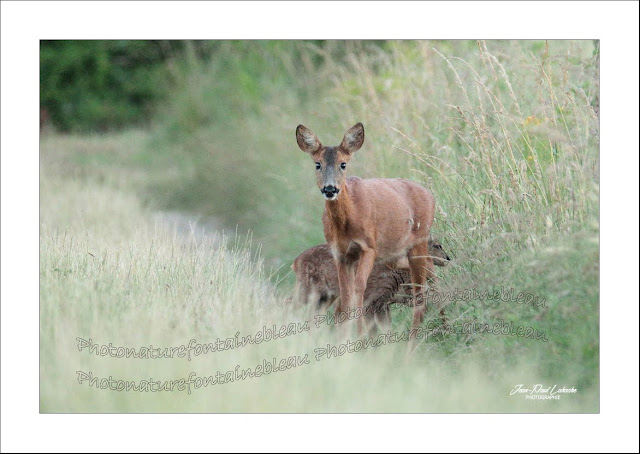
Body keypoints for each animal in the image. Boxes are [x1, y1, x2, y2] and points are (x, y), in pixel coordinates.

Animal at [292, 238, 448, 334]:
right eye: (437, 245)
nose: (448, 258)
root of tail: (295, 262)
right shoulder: (372, 301)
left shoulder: (383, 303)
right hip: (307, 291)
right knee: (289, 303)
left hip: (324, 297)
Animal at [298, 121, 438, 340]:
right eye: (317, 164)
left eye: (343, 164)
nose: (330, 189)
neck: (347, 223)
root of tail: (430, 195)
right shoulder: (340, 253)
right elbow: (346, 293)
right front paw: (344, 337)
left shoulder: (368, 247)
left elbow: (359, 288)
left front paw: (357, 336)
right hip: (396, 254)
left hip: (419, 241)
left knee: (420, 293)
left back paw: (412, 343)